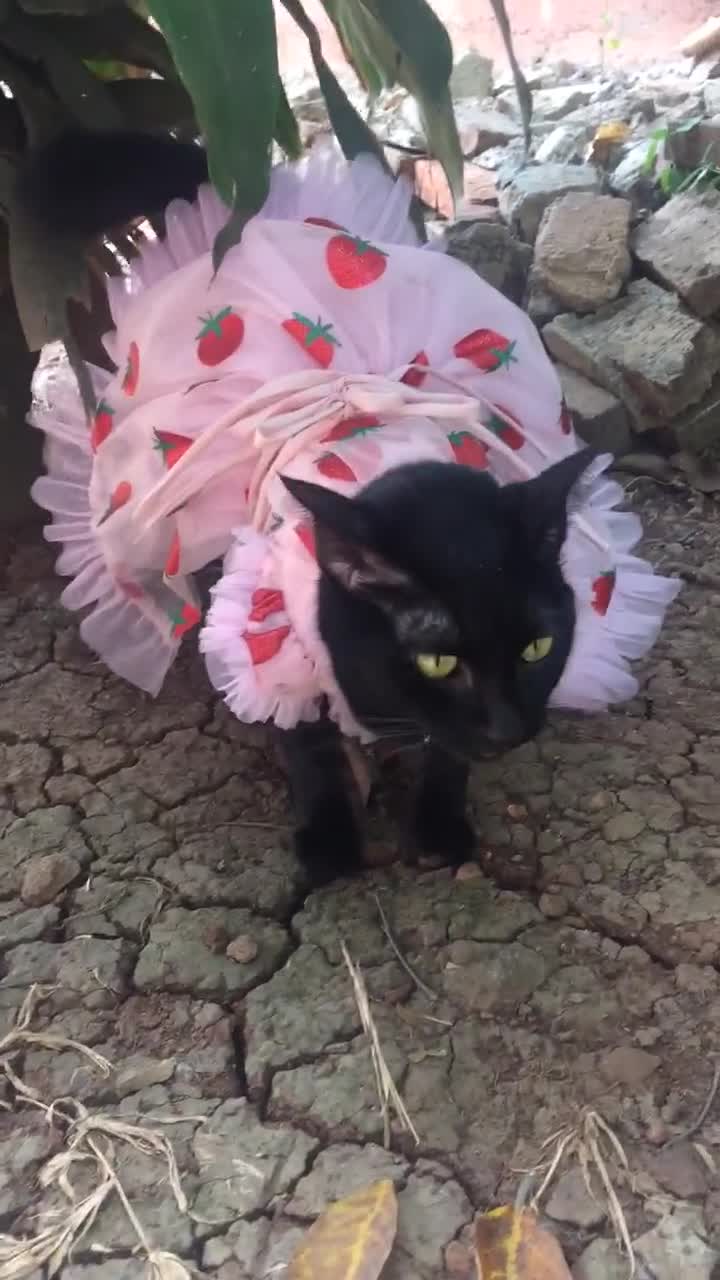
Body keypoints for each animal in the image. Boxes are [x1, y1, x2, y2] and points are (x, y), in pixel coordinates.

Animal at [22, 132, 594, 890]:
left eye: (537, 647)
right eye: (438, 661)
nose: (507, 730)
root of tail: (248, 223)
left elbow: (446, 753)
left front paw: (439, 823)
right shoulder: (260, 622)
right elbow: (303, 739)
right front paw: (328, 840)